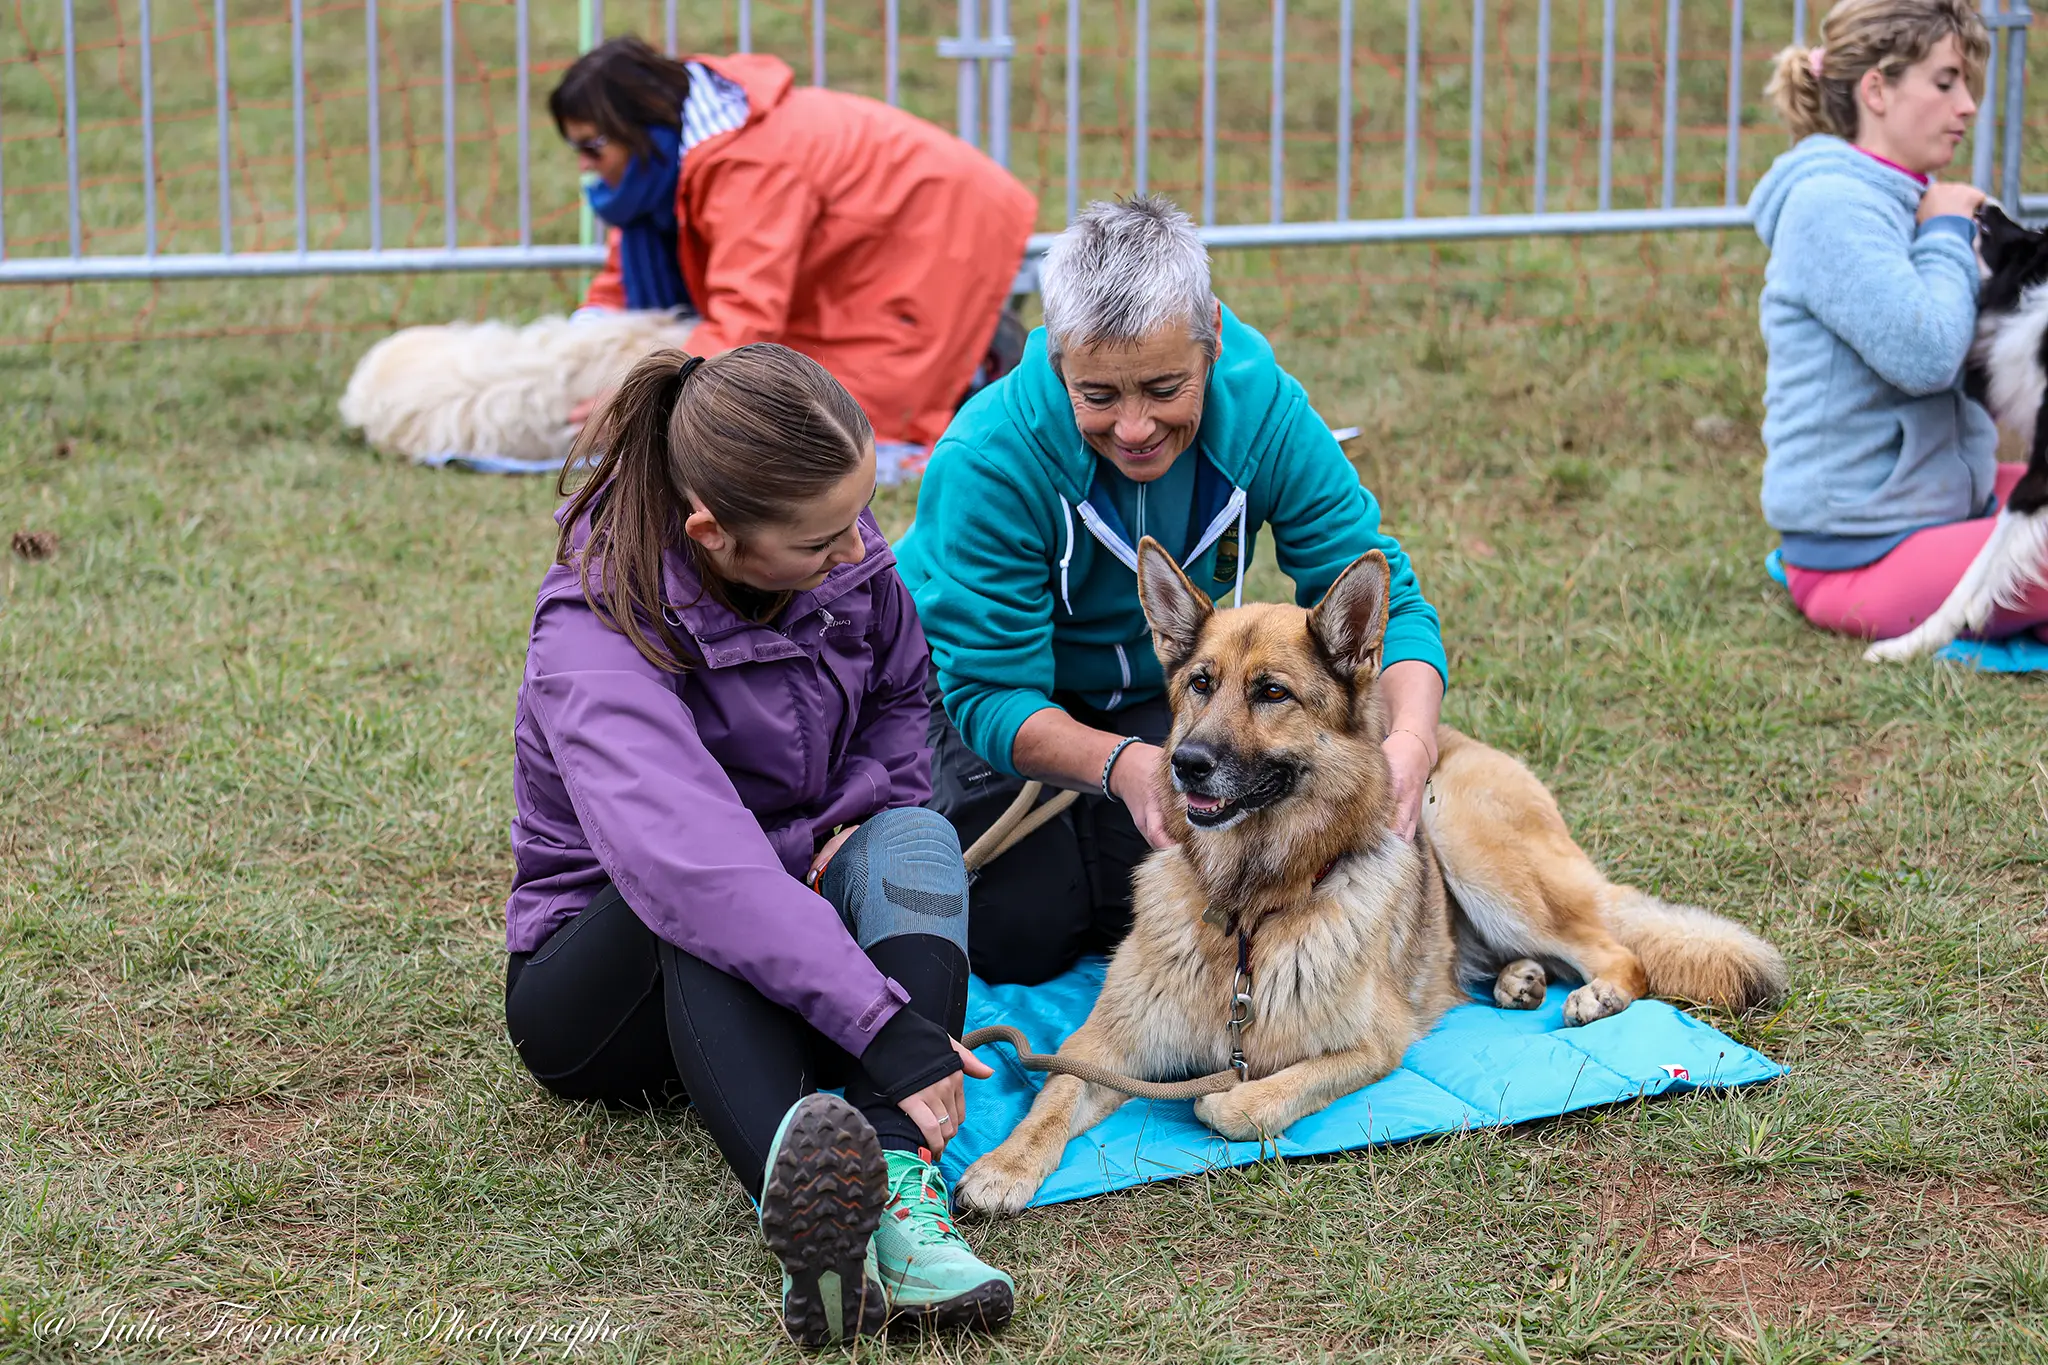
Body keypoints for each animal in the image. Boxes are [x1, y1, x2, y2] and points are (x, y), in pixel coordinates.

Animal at [950, 540, 1785, 1211]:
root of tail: (1459, 741)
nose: (1186, 764)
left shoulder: (1371, 1047)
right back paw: (1516, 979)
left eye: (1272, 692)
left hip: (1462, 833)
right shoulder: (1102, 1042)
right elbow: (1055, 1092)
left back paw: (1594, 991)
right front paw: (1002, 1164)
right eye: (1200, 683)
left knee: (1618, 950)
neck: (1253, 906)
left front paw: (1229, 1099)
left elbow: (1239, 1104)